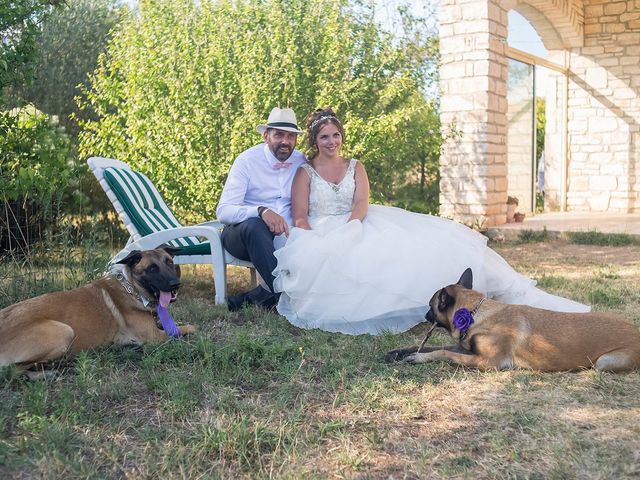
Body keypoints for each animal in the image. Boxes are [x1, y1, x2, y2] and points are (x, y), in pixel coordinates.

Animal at [0, 246, 195, 376]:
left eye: (169, 262)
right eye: (152, 268)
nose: (175, 285)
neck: (132, 288)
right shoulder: (155, 336)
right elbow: (188, 328)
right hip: (64, 332)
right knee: (14, 370)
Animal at [388, 268, 640, 374]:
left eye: (430, 306)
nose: (424, 315)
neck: (478, 313)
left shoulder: (487, 362)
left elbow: (444, 352)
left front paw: (419, 357)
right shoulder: (469, 350)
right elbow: (435, 346)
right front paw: (399, 352)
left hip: (605, 362)